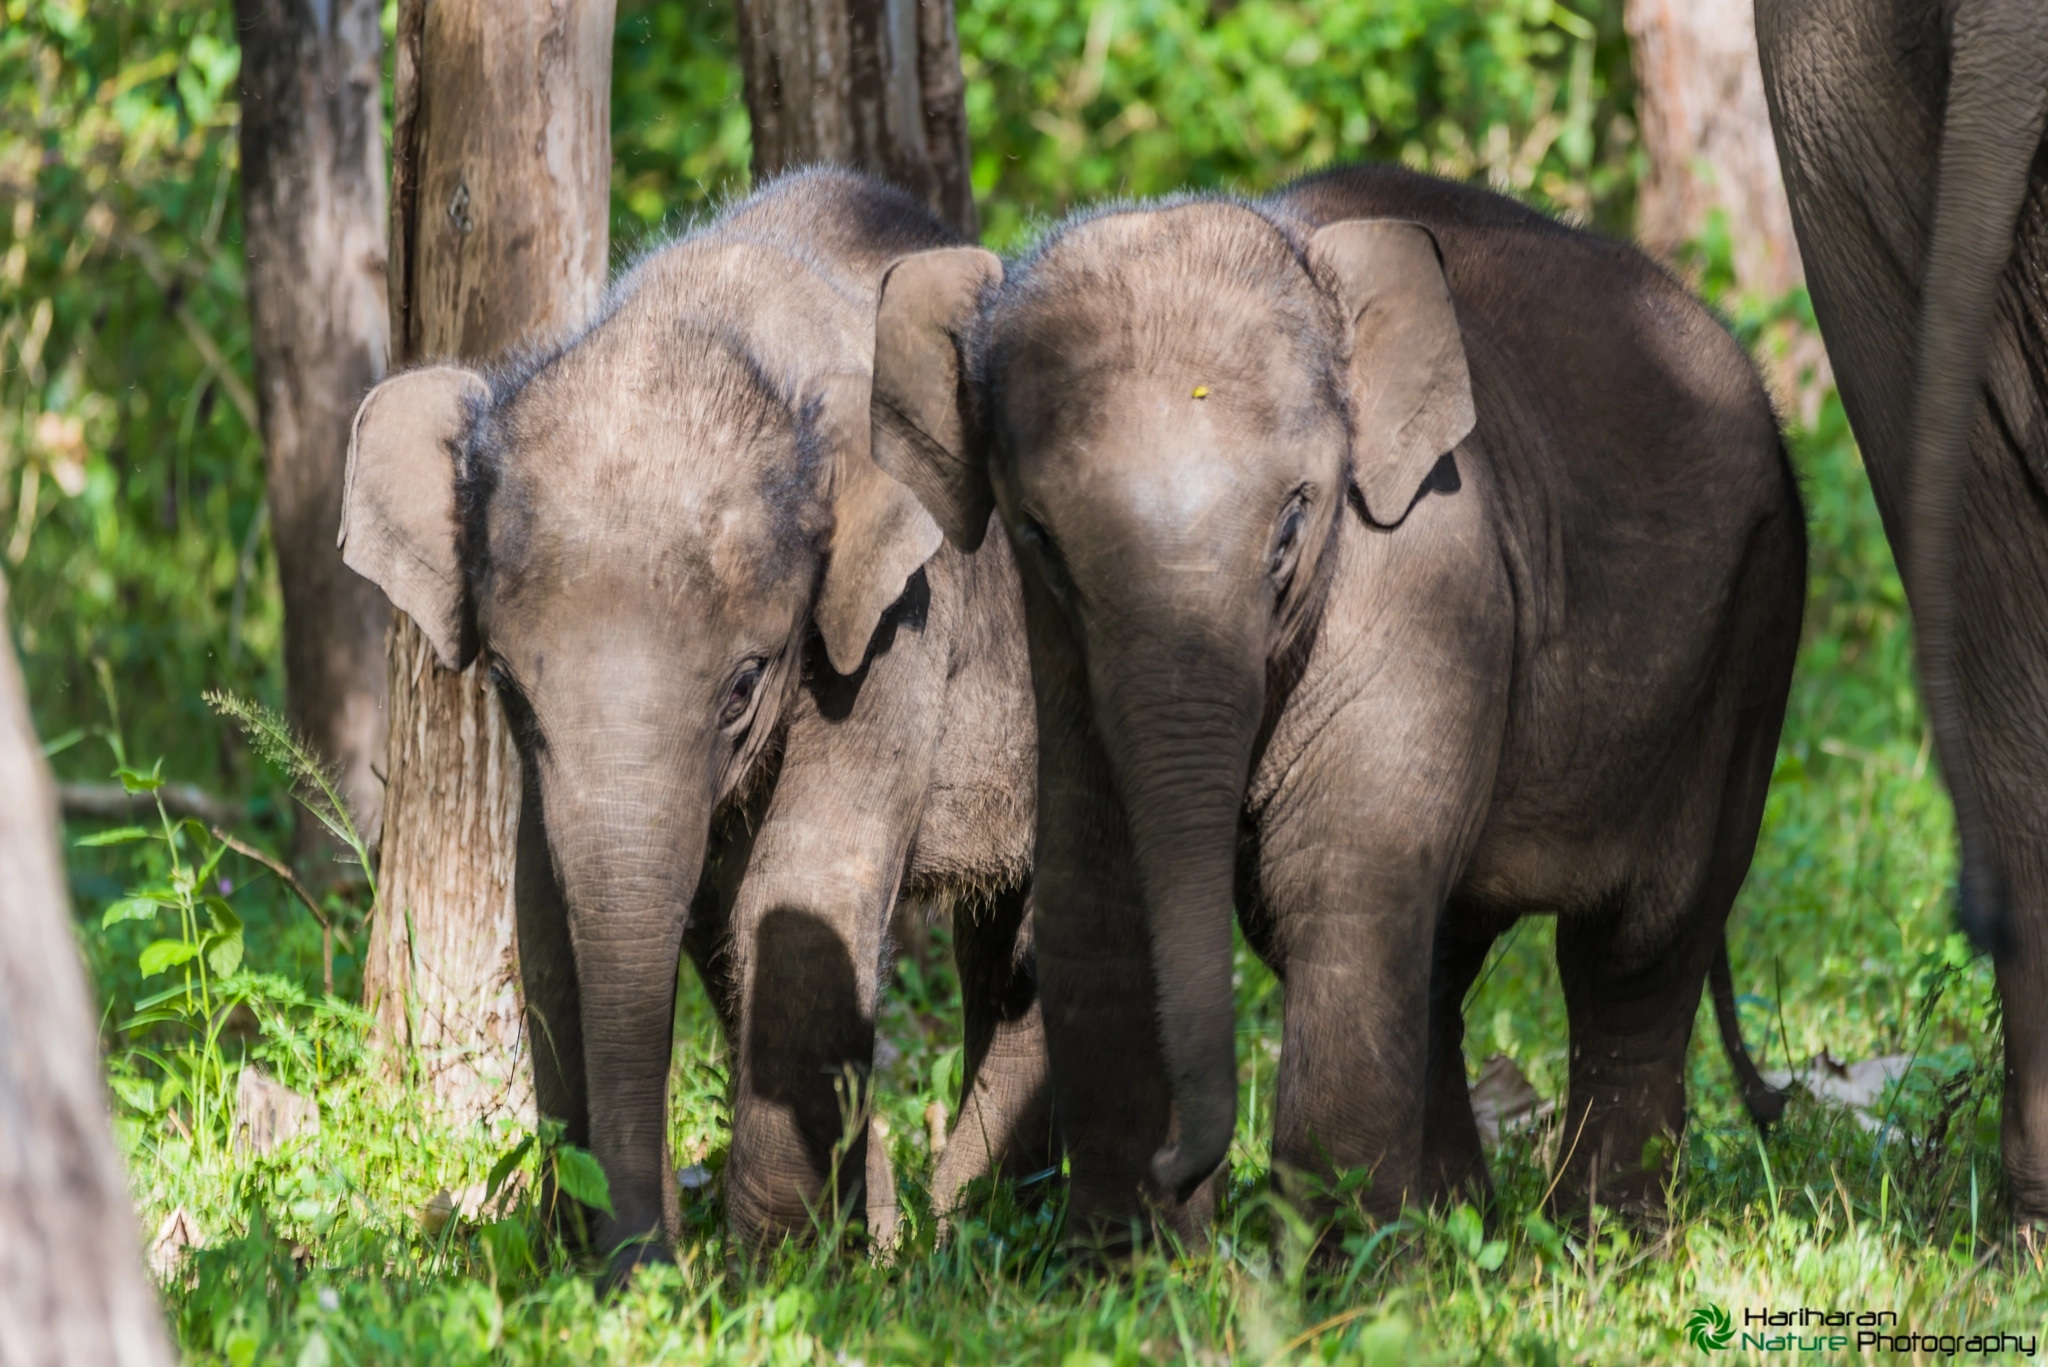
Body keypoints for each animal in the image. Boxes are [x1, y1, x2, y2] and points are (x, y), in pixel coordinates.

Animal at [337, 170, 1053, 1270]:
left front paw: (780, 1272)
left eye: (743, 687)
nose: (650, 1268)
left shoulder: (900, 621)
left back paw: (968, 1223)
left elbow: (801, 888)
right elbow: (545, 912)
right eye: (505, 683)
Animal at [867, 164, 1805, 1239]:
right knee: (1443, 955)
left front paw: (1329, 1267)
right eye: (1039, 537)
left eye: (1292, 526)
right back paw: (1456, 1227)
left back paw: (1600, 1238)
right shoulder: (1059, 651)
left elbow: (1340, 874)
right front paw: (1120, 1260)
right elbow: (1097, 883)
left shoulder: (1430, 570)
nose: (1184, 1170)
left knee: (1638, 944)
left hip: (1751, 627)